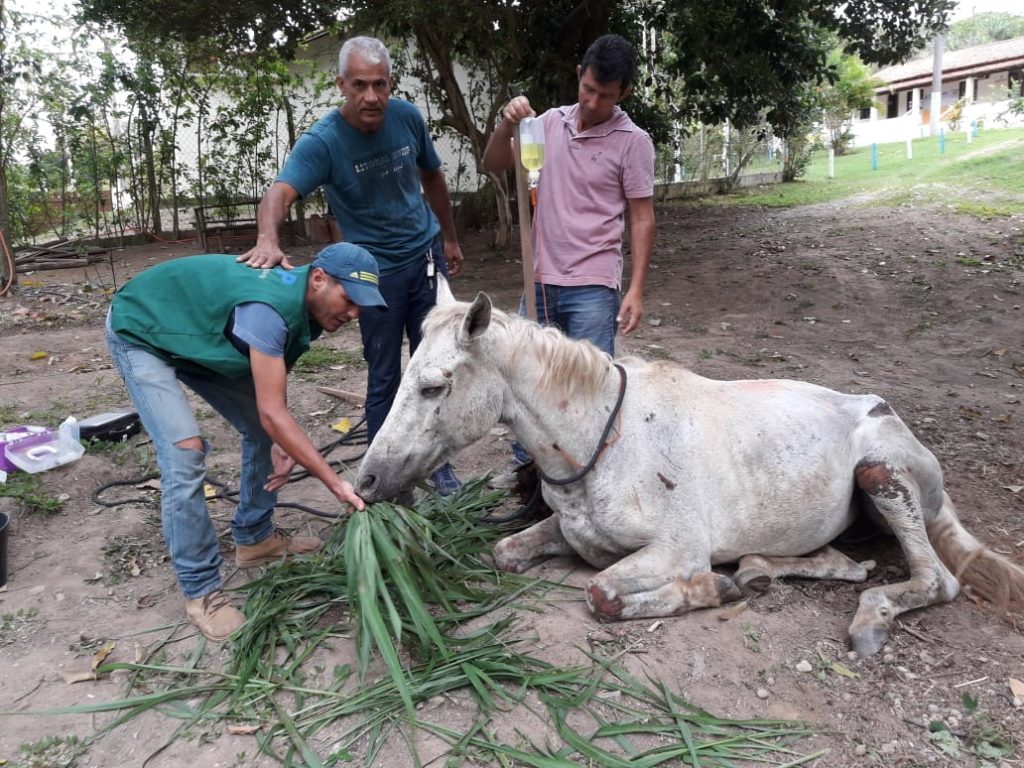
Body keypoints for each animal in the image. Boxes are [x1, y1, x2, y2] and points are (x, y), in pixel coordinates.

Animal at [358, 292, 1024, 655]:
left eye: (433, 385)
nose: (366, 482)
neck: (607, 438)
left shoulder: (675, 550)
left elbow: (602, 594)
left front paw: (711, 590)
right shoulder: (569, 534)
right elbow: (504, 552)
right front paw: (729, 584)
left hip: (881, 476)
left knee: (936, 581)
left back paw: (865, 619)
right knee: (840, 561)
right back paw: (757, 571)